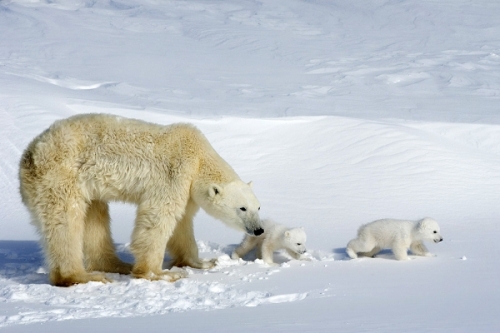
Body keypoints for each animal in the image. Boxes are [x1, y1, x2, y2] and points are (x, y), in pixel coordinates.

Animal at [18, 113, 264, 284]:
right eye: (242, 208)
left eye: (258, 207)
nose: (259, 229)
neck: (199, 157)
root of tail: (28, 155)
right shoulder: (174, 173)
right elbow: (158, 217)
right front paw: (160, 274)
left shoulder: (187, 189)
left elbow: (182, 224)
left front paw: (203, 262)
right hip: (60, 177)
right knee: (66, 223)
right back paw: (83, 276)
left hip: (83, 186)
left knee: (95, 217)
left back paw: (117, 265)